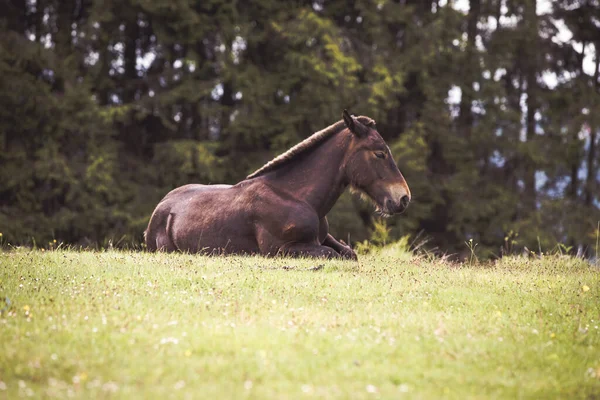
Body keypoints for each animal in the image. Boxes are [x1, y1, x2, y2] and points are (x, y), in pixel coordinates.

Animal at [144, 109, 412, 260]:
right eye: (380, 153)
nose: (403, 198)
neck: (297, 197)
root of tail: (162, 205)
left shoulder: (322, 238)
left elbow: (348, 252)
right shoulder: (281, 249)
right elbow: (332, 254)